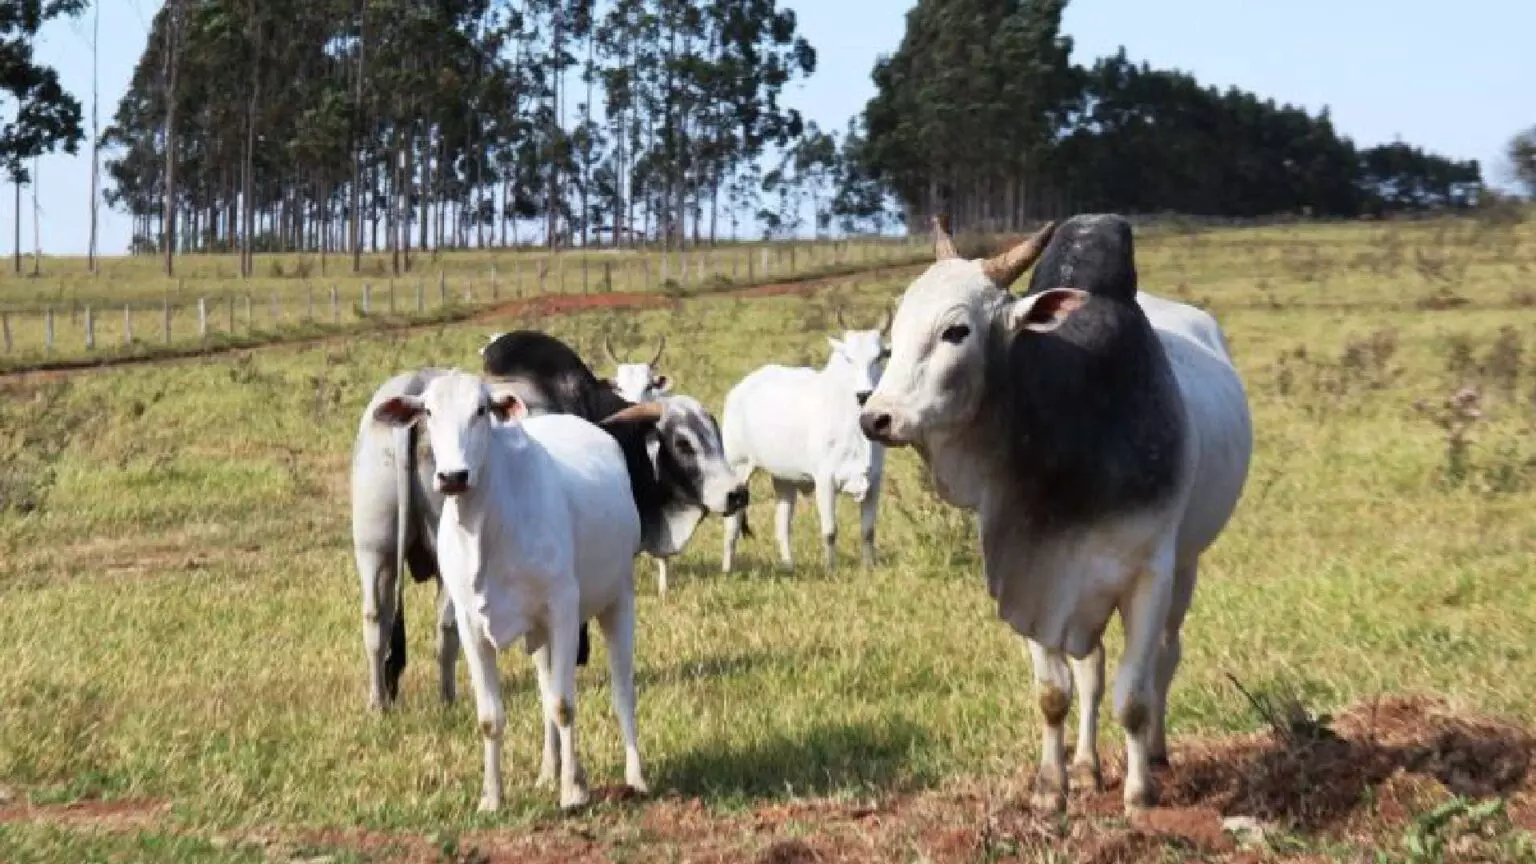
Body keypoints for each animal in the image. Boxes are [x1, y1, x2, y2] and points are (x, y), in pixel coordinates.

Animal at [373, 368, 648, 805]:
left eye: (481, 410)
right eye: (428, 411)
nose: (453, 477)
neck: (487, 529)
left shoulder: (563, 610)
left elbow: (565, 705)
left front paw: (572, 793)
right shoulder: (471, 625)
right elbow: (493, 717)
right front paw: (493, 797)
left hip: (617, 600)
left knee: (622, 693)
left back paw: (634, 777)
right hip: (540, 634)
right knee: (545, 690)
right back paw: (549, 772)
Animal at [724, 309, 897, 571]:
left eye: (880, 356)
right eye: (848, 358)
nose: (864, 395)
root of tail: (739, 389)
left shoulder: (874, 480)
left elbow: (868, 531)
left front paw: (869, 568)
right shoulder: (825, 480)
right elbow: (830, 531)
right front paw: (830, 570)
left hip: (784, 479)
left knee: (782, 526)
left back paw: (789, 567)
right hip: (738, 468)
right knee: (732, 527)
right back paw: (727, 568)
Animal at [860, 215, 1253, 811]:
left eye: (957, 331)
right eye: (895, 331)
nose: (876, 418)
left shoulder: (1149, 576)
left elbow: (1134, 696)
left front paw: (1139, 794)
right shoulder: (1033, 572)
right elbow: (1055, 692)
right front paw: (1053, 786)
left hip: (1185, 567)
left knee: (1165, 659)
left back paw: (1158, 755)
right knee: (1092, 669)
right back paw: (1088, 766)